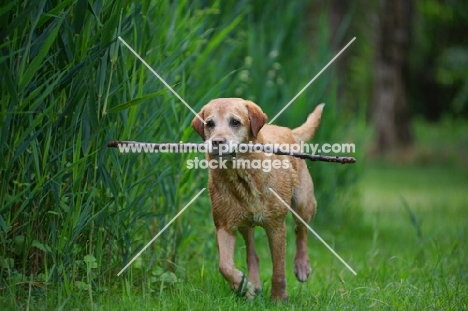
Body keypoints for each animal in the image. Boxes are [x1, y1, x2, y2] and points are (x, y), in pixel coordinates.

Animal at [190, 98, 322, 302]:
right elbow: (224, 265)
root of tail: (289, 131)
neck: (243, 177)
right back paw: (253, 285)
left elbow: (278, 268)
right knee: (252, 253)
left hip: (303, 201)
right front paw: (243, 286)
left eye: (235, 122)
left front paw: (279, 298)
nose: (217, 142)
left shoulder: (276, 226)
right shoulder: (224, 225)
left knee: (301, 229)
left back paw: (301, 265)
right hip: (245, 224)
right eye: (209, 124)